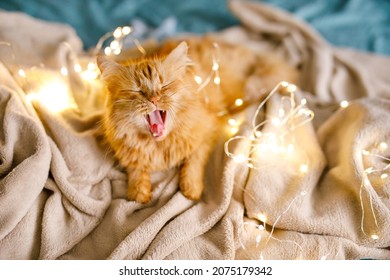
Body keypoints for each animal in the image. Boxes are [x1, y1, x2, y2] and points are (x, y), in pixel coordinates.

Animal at [96, 36, 296, 203]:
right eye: (137, 91)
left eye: (165, 86)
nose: (154, 99)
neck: (159, 147)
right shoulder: (128, 152)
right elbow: (136, 169)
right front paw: (139, 192)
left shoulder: (207, 131)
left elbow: (193, 162)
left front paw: (191, 189)